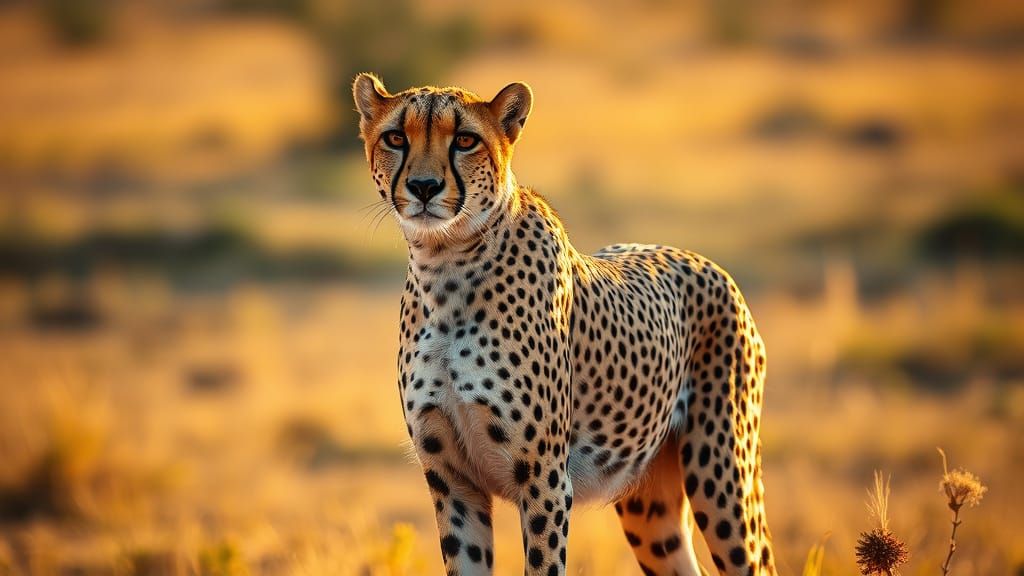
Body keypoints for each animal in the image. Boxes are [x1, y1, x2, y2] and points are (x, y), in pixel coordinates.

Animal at [353, 72, 776, 576]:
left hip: (723, 477)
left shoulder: (545, 479)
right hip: (650, 507)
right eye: (396, 138)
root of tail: (705, 261)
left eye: (465, 140)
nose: (423, 186)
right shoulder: (452, 481)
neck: (446, 263)